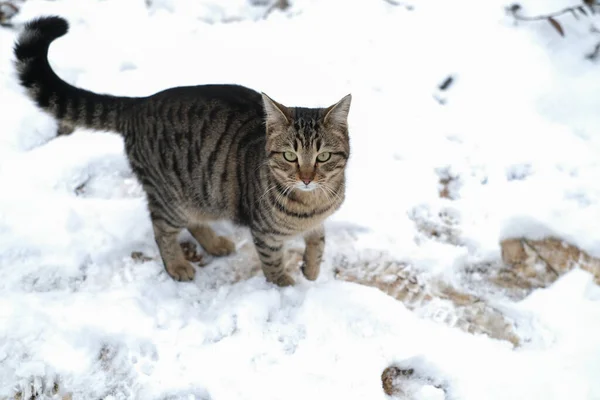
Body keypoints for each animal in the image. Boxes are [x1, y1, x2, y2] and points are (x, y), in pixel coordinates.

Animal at [12, 14, 352, 284]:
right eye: (289, 156)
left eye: (323, 156)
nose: (306, 178)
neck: (311, 203)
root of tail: (139, 103)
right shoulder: (265, 234)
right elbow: (272, 263)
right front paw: (285, 284)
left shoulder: (318, 220)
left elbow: (319, 240)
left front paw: (311, 269)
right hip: (171, 196)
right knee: (161, 228)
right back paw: (176, 265)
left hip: (200, 192)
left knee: (193, 220)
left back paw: (215, 244)